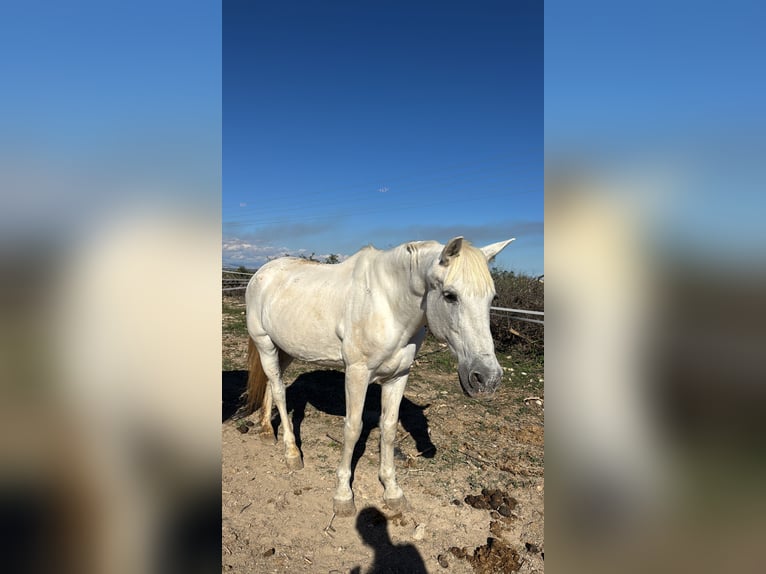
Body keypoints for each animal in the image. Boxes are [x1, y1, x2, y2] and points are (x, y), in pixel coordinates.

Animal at [243, 236, 514, 516]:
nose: (487, 378)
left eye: (492, 298)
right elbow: (353, 429)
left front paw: (392, 490)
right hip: (264, 344)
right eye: (450, 295)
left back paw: (266, 430)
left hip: (285, 349)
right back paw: (292, 453)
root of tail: (262, 274)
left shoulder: (398, 376)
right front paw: (343, 495)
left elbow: (389, 428)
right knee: (278, 390)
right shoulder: (357, 373)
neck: (387, 305)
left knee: (271, 384)